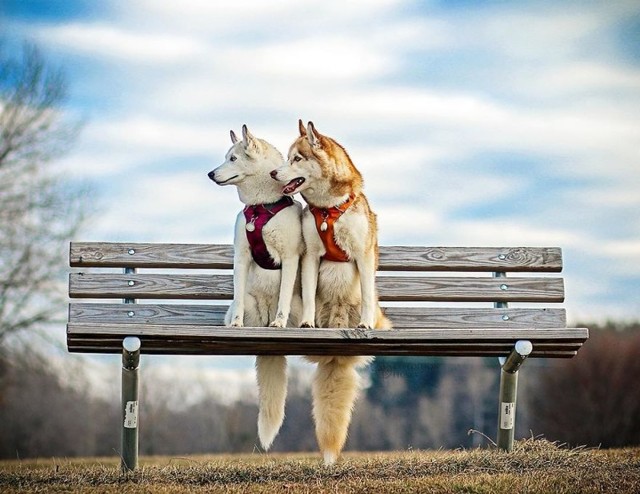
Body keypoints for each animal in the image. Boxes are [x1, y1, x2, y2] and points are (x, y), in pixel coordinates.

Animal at [208, 126, 302, 452]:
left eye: (233, 158)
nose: (210, 174)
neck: (262, 206)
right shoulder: (241, 256)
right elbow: (236, 295)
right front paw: (236, 325)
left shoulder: (291, 257)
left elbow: (283, 296)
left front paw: (280, 322)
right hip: (251, 304)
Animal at [270, 120, 390, 466]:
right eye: (286, 157)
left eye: (297, 158)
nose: (272, 172)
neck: (328, 209)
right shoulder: (310, 255)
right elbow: (310, 295)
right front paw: (308, 325)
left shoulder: (363, 255)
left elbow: (366, 293)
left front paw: (364, 325)